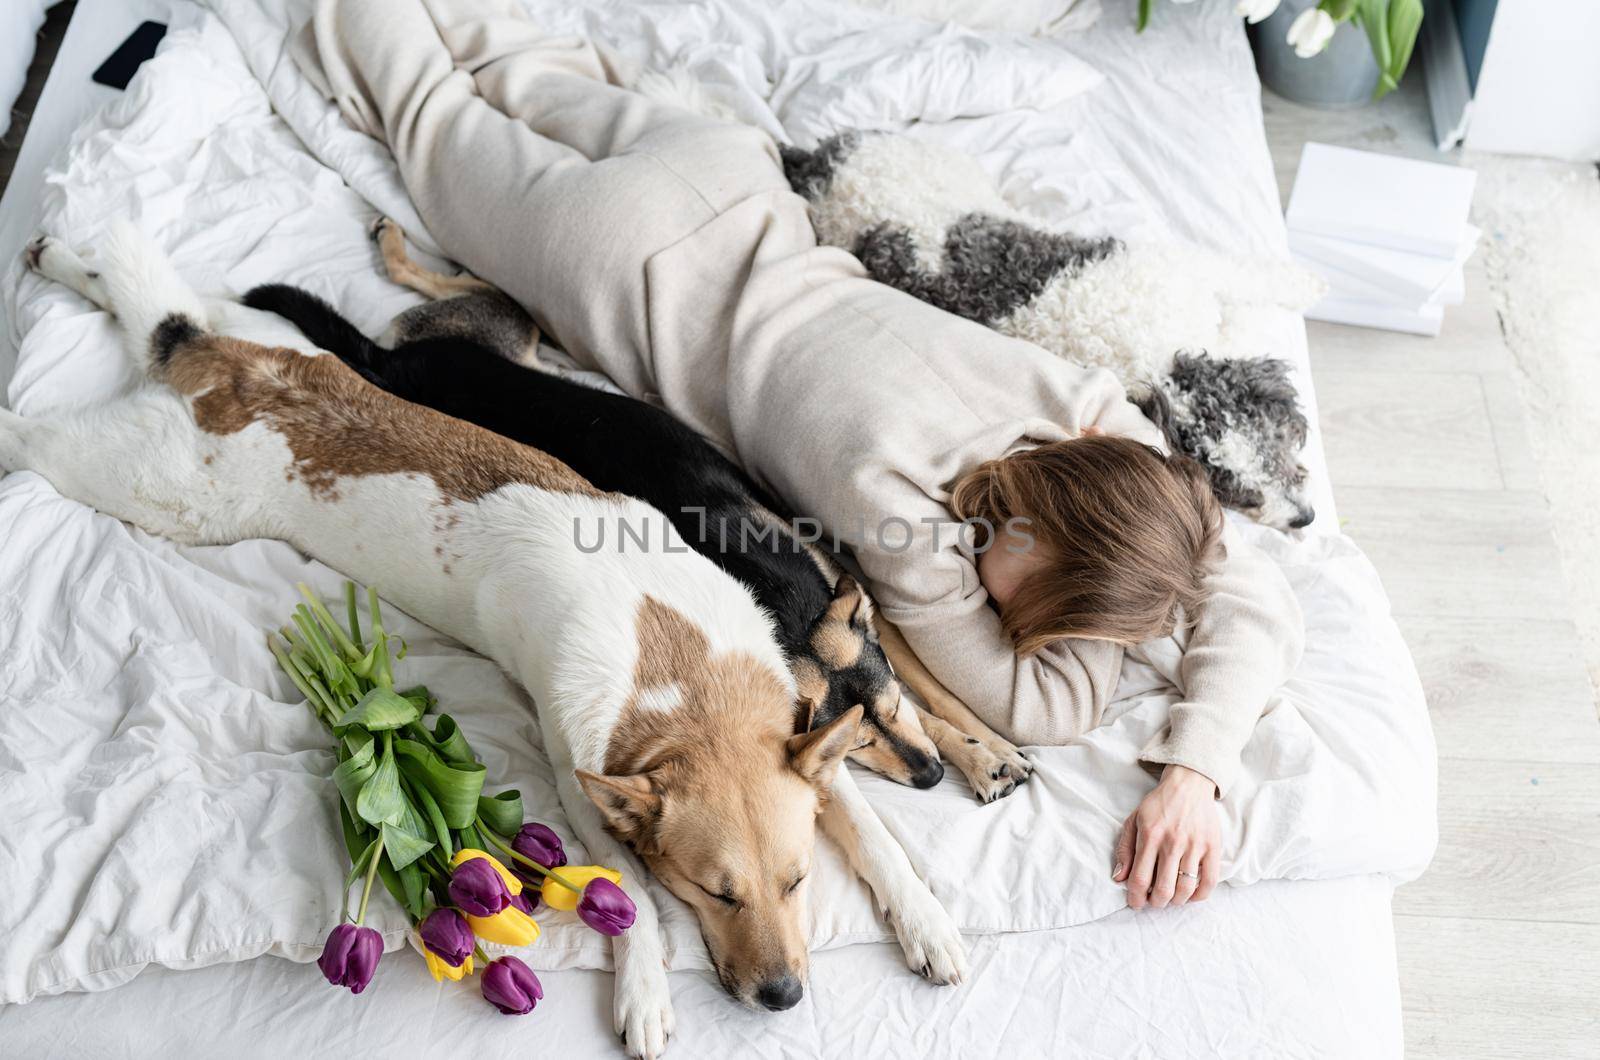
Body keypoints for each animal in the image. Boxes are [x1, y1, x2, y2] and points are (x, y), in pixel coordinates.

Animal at [243, 222, 1030, 807]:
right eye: (852, 742)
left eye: (884, 709)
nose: (930, 779)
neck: (775, 583)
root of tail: (392, 364)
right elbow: (932, 707)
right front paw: (973, 757)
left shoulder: (864, 608)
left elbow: (941, 697)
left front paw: (988, 750)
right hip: (486, 334)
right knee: (442, 290)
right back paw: (393, 244)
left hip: (507, 332)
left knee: (458, 286)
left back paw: (396, 243)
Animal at [780, 130, 1318, 531]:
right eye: (1241, 493)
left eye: (1277, 450)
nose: (1305, 519)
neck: (1151, 355)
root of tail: (822, 159)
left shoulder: (1188, 277)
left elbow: (1244, 278)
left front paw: (1307, 283)